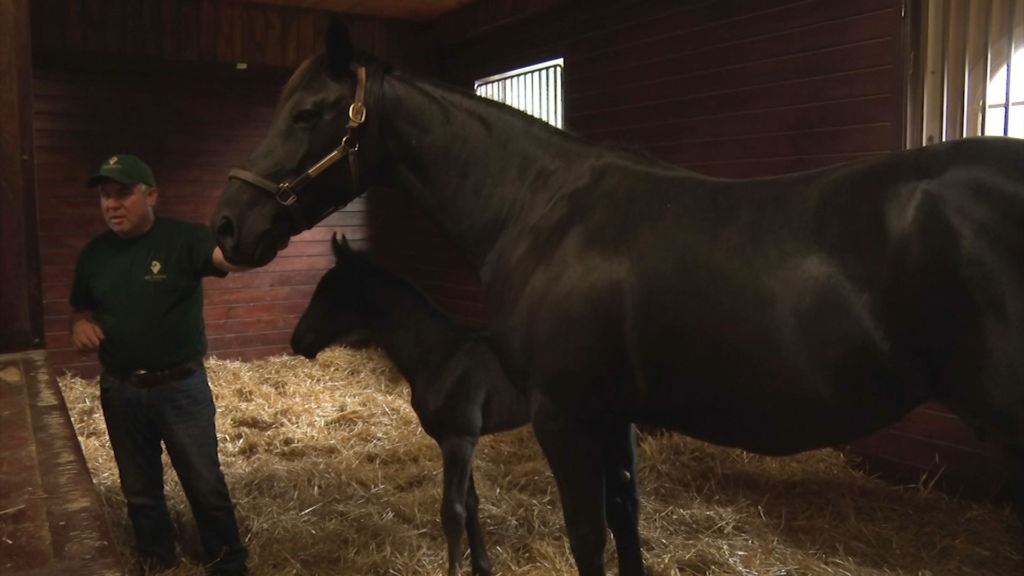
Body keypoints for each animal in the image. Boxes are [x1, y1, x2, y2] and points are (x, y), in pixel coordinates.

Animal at [289, 235, 641, 576]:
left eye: (332, 294)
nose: (298, 341)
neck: (440, 356)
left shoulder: (459, 439)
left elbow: (453, 512)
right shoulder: (455, 441)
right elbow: (471, 503)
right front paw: (482, 568)